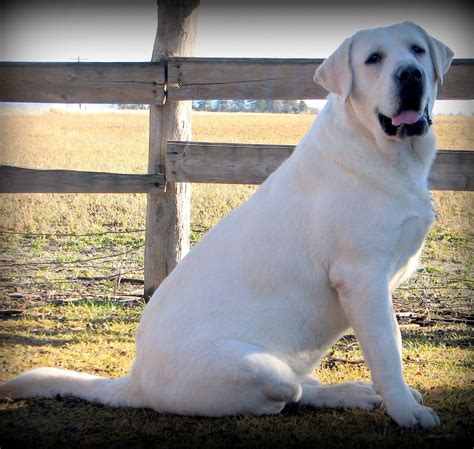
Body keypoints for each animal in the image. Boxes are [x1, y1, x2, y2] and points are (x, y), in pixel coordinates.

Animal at [0, 22, 452, 428]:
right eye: (373, 59)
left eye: (417, 50)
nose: (410, 74)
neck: (386, 153)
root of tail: (136, 380)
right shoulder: (362, 278)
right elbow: (388, 351)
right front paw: (405, 412)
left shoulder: (382, 280)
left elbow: (391, 345)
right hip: (262, 369)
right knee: (290, 395)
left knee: (303, 387)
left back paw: (350, 392)